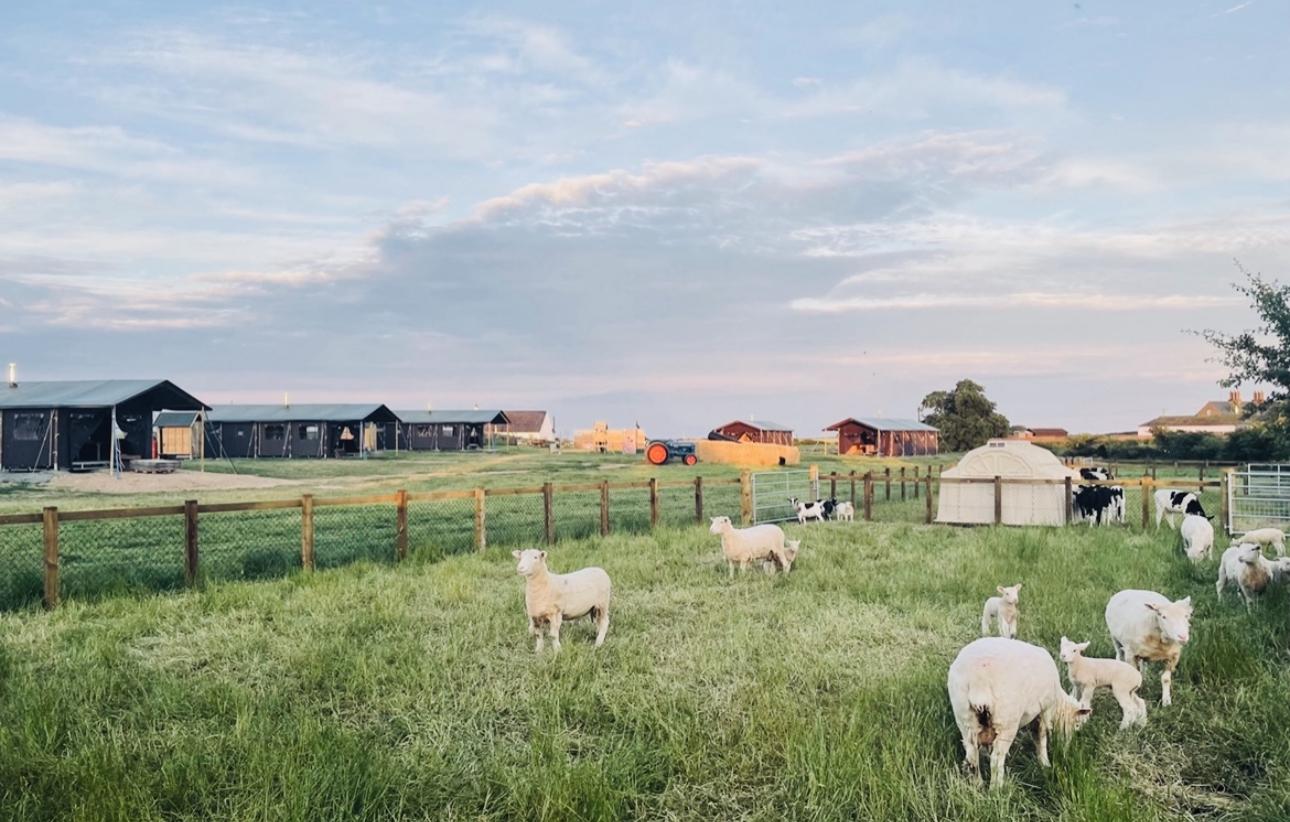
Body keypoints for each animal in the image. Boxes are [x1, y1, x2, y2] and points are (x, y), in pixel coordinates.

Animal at [949, 634, 1088, 789]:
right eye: (1076, 725)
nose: (1067, 748)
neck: (1058, 702)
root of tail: (979, 679)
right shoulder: (1044, 711)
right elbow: (1040, 736)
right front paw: (1045, 763)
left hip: (965, 719)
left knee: (972, 756)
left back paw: (978, 785)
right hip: (1006, 721)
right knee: (996, 759)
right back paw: (996, 789)